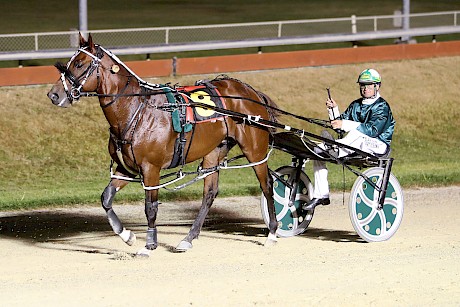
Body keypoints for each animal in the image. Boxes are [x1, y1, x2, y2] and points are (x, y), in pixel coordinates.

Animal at [46, 33, 278, 258]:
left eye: (79, 64)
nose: (53, 95)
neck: (137, 110)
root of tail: (251, 91)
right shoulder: (126, 169)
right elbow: (106, 198)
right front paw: (127, 235)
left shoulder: (151, 170)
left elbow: (150, 208)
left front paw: (149, 245)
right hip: (214, 151)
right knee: (209, 194)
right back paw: (188, 238)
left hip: (255, 151)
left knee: (267, 185)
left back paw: (273, 233)